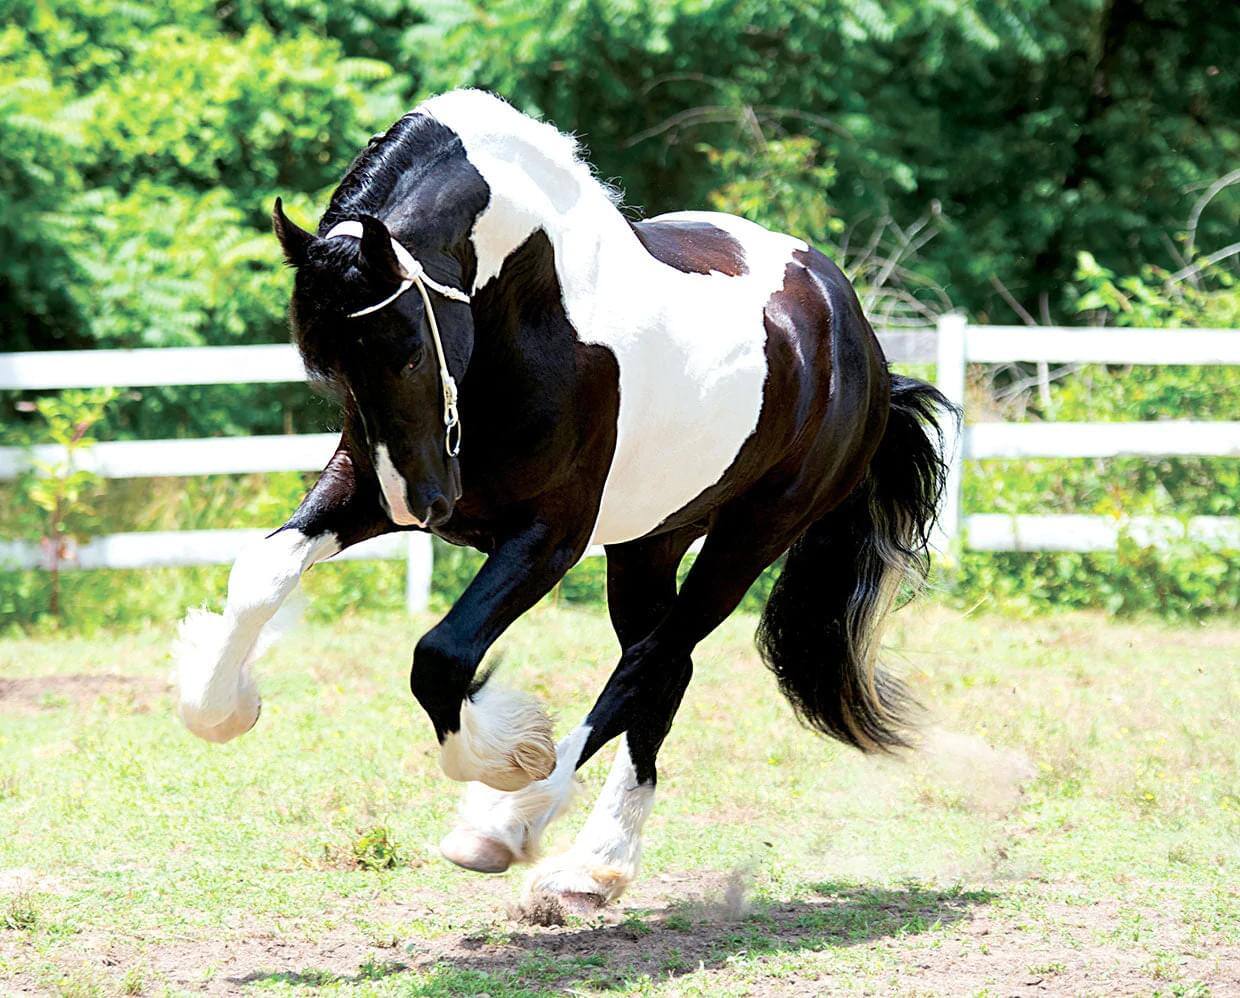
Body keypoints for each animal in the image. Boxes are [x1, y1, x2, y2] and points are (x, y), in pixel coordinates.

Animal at [175, 89, 952, 910]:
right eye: (324, 368)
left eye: (408, 350)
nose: (423, 509)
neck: (534, 317)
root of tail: (857, 336)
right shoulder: (366, 484)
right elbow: (261, 572)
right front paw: (225, 707)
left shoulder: (549, 536)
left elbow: (442, 656)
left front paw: (509, 756)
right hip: (649, 542)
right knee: (664, 672)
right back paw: (594, 867)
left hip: (750, 537)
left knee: (648, 663)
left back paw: (511, 827)